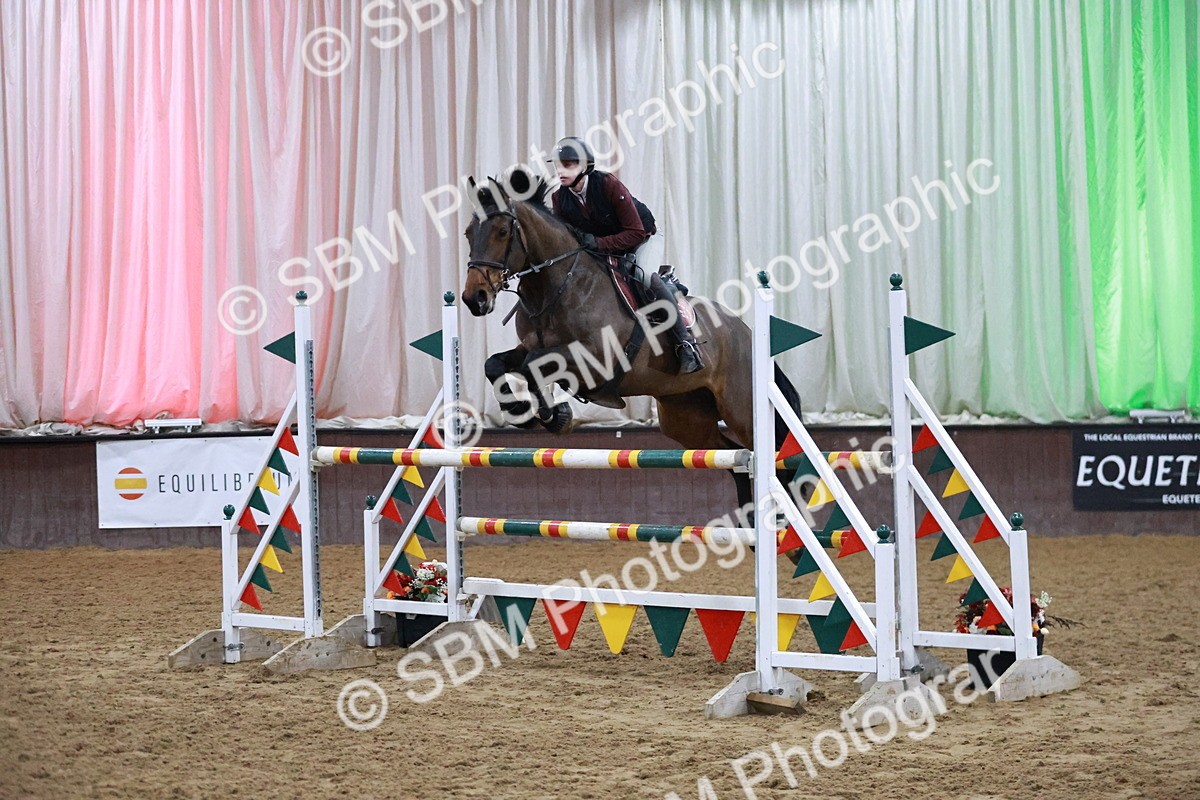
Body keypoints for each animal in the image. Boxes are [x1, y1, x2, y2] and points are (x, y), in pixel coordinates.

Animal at [460, 170, 804, 513]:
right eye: (467, 233)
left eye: (502, 231)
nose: (474, 299)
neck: (556, 286)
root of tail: (747, 333)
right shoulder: (532, 349)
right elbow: (496, 364)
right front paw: (521, 411)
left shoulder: (595, 360)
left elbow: (534, 365)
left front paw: (556, 417)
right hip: (687, 417)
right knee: (734, 462)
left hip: (742, 411)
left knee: (777, 461)